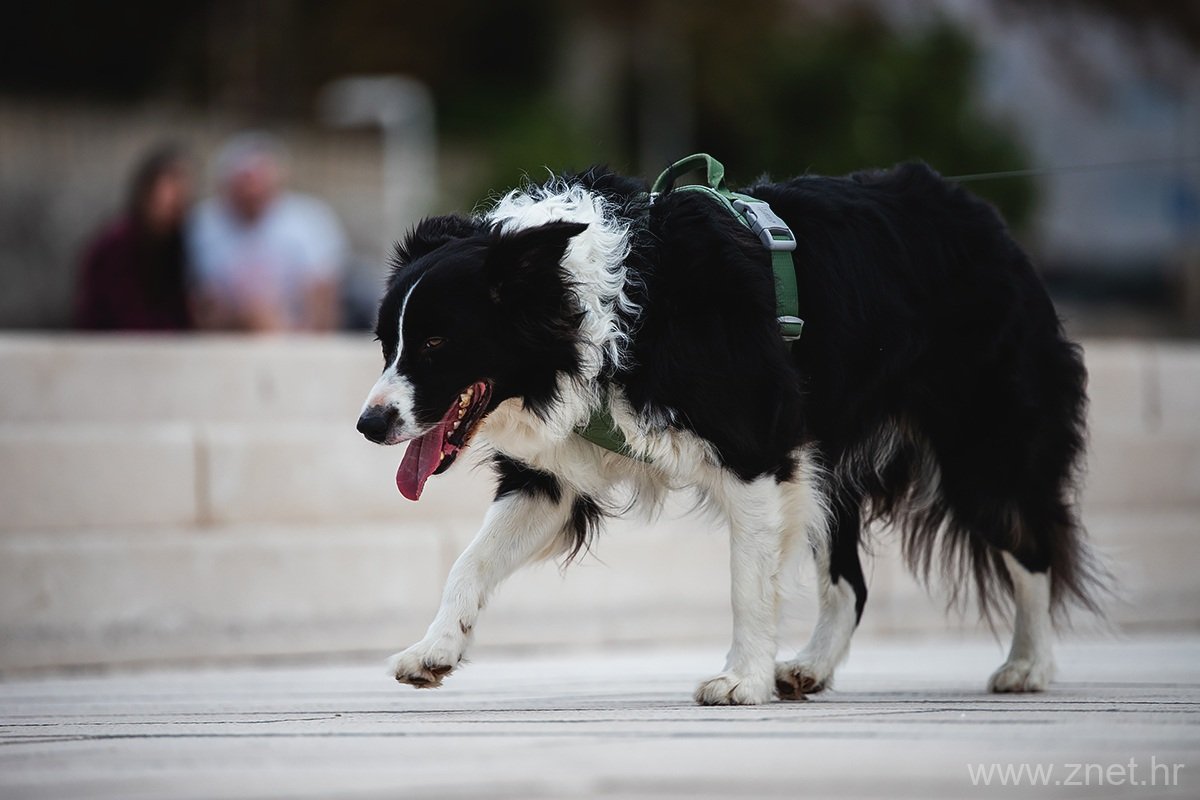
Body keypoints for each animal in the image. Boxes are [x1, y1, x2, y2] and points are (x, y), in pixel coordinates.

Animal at [356, 160, 1103, 705]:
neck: (598, 306)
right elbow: (470, 560)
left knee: (1031, 542)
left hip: (983, 435)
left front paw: (740, 682)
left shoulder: (756, 447)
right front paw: (432, 652)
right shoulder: (552, 476)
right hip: (830, 456)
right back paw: (809, 668)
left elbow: (748, 579)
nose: (369, 424)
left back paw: (1028, 667)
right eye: (387, 343)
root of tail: (989, 222)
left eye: (436, 343)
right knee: (851, 580)